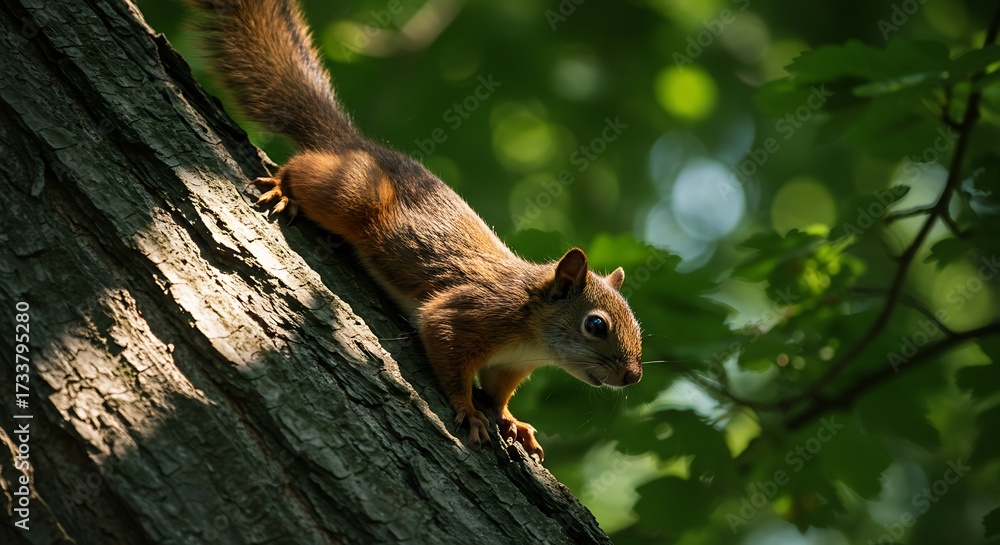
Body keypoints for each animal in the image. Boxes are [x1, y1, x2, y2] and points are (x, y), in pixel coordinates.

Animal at [189, 0, 643, 461]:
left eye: (637, 326)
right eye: (596, 325)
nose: (633, 376)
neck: (533, 330)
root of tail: (350, 143)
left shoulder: (509, 365)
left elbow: (499, 394)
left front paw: (511, 421)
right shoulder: (470, 314)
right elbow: (446, 349)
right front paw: (469, 412)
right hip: (354, 193)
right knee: (304, 170)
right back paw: (284, 186)